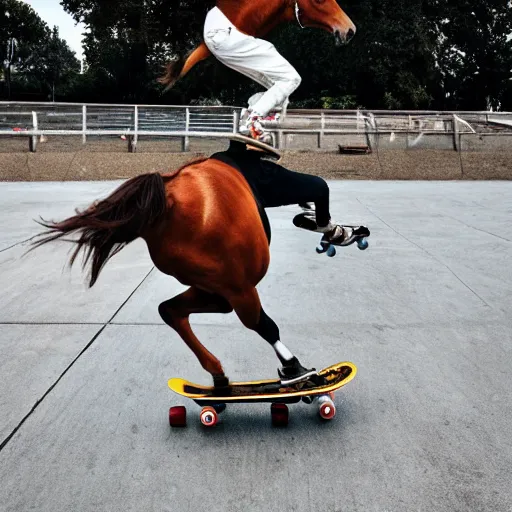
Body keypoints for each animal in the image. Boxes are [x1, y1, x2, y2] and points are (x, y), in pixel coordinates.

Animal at [32, 152, 318, 388]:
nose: (310, 203)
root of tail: (167, 197)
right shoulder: (235, 287)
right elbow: (264, 325)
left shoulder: (216, 289)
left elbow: (171, 309)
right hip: (238, 290)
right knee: (261, 324)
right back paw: (296, 370)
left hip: (218, 289)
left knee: (170, 310)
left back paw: (218, 373)